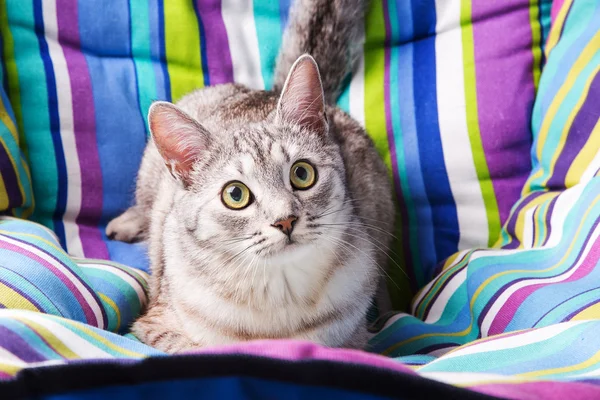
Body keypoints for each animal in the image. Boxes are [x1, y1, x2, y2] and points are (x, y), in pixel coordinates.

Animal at [106, 0, 398, 352]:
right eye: (235, 194)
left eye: (302, 174)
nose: (285, 220)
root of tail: (267, 91)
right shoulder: (155, 324)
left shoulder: (354, 336)